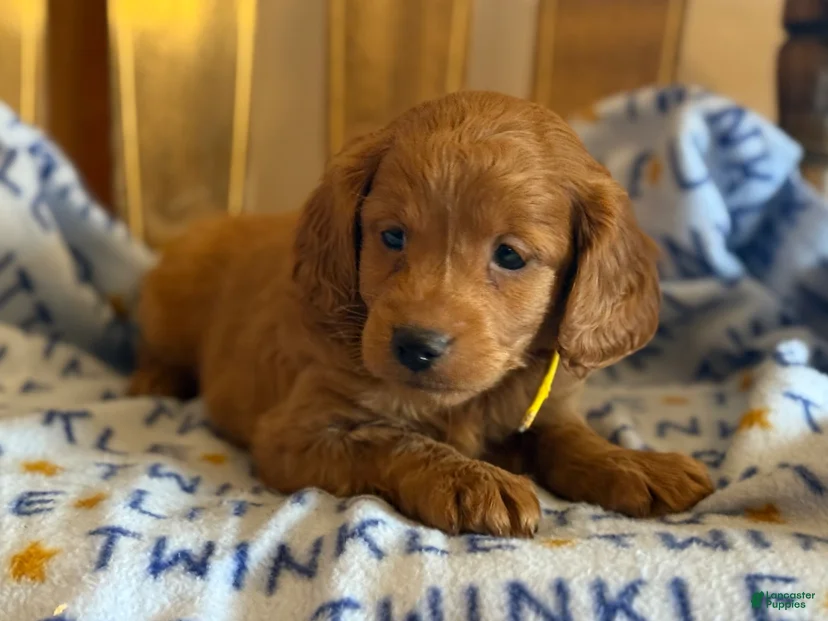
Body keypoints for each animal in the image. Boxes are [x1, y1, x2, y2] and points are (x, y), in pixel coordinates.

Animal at [129, 91, 714, 537]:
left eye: (510, 256)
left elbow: (571, 439)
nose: (415, 345)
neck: (468, 403)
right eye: (392, 236)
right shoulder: (292, 433)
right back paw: (154, 380)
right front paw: (472, 481)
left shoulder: (547, 406)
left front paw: (634, 462)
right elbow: (393, 438)